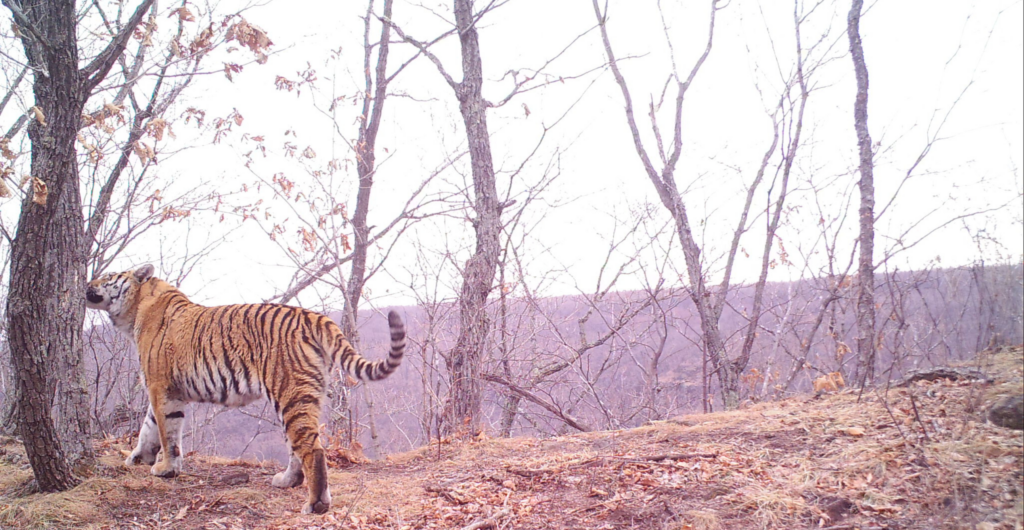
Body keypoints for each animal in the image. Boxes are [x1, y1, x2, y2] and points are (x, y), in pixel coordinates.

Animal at [85, 264, 405, 514]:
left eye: (109, 275)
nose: (87, 284)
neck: (136, 308)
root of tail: (313, 316)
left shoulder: (160, 385)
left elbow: (166, 431)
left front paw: (165, 468)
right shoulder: (165, 390)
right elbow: (149, 426)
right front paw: (139, 458)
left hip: (290, 393)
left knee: (312, 449)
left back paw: (315, 505)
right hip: (294, 397)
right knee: (296, 447)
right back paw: (287, 481)